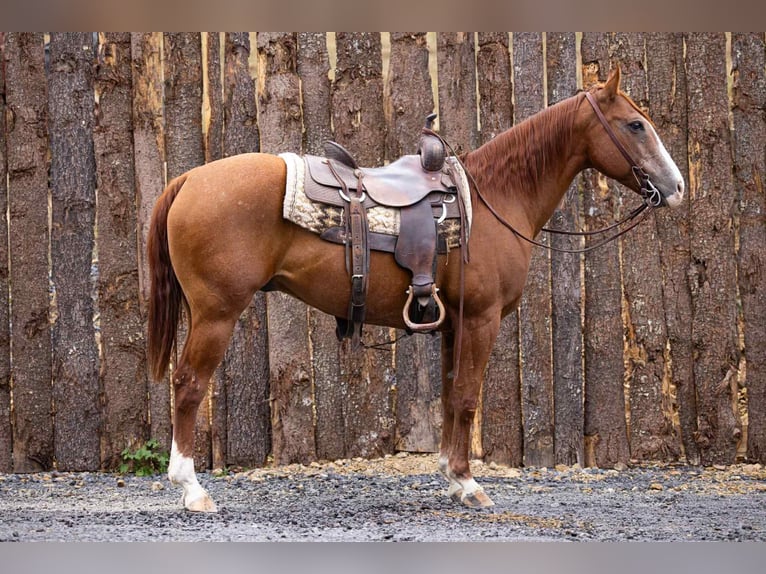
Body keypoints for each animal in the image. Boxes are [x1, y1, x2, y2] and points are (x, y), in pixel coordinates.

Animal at [147, 67, 684, 512]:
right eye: (635, 125)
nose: (677, 187)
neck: (494, 200)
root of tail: (190, 177)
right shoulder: (481, 319)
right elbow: (467, 396)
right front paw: (468, 484)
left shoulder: (454, 323)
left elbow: (450, 395)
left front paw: (450, 475)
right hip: (217, 313)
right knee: (188, 385)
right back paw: (192, 489)